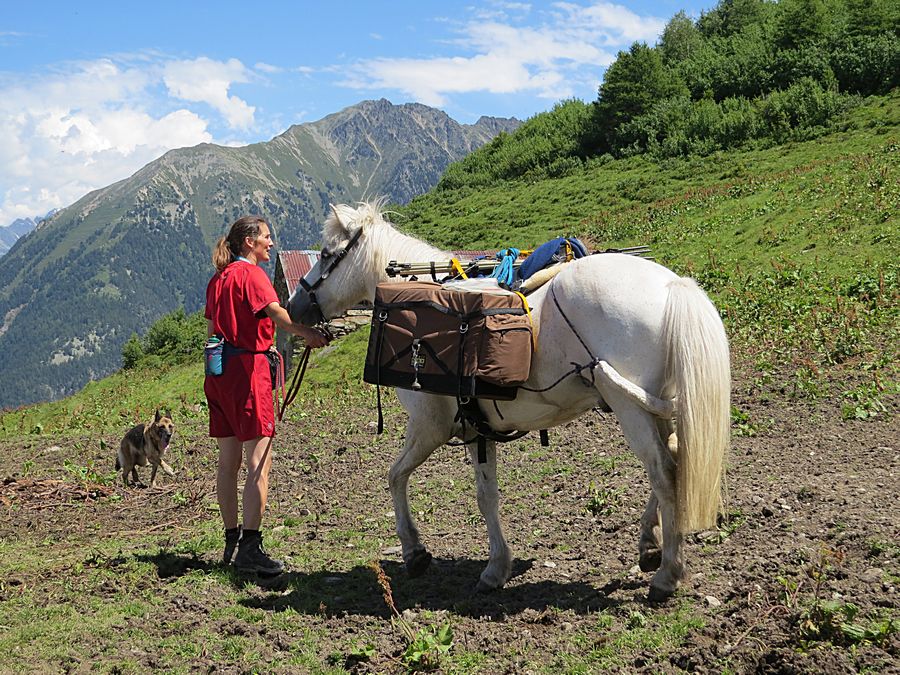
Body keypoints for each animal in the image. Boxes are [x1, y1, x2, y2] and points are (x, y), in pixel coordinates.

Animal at [290, 202, 732, 604]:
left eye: (327, 254)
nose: (295, 306)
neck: (417, 308)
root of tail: (672, 286)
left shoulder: (433, 427)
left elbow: (402, 477)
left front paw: (423, 553)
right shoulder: (477, 429)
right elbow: (481, 493)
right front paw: (493, 565)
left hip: (632, 409)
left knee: (664, 472)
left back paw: (667, 573)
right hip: (659, 404)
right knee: (675, 457)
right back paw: (649, 545)